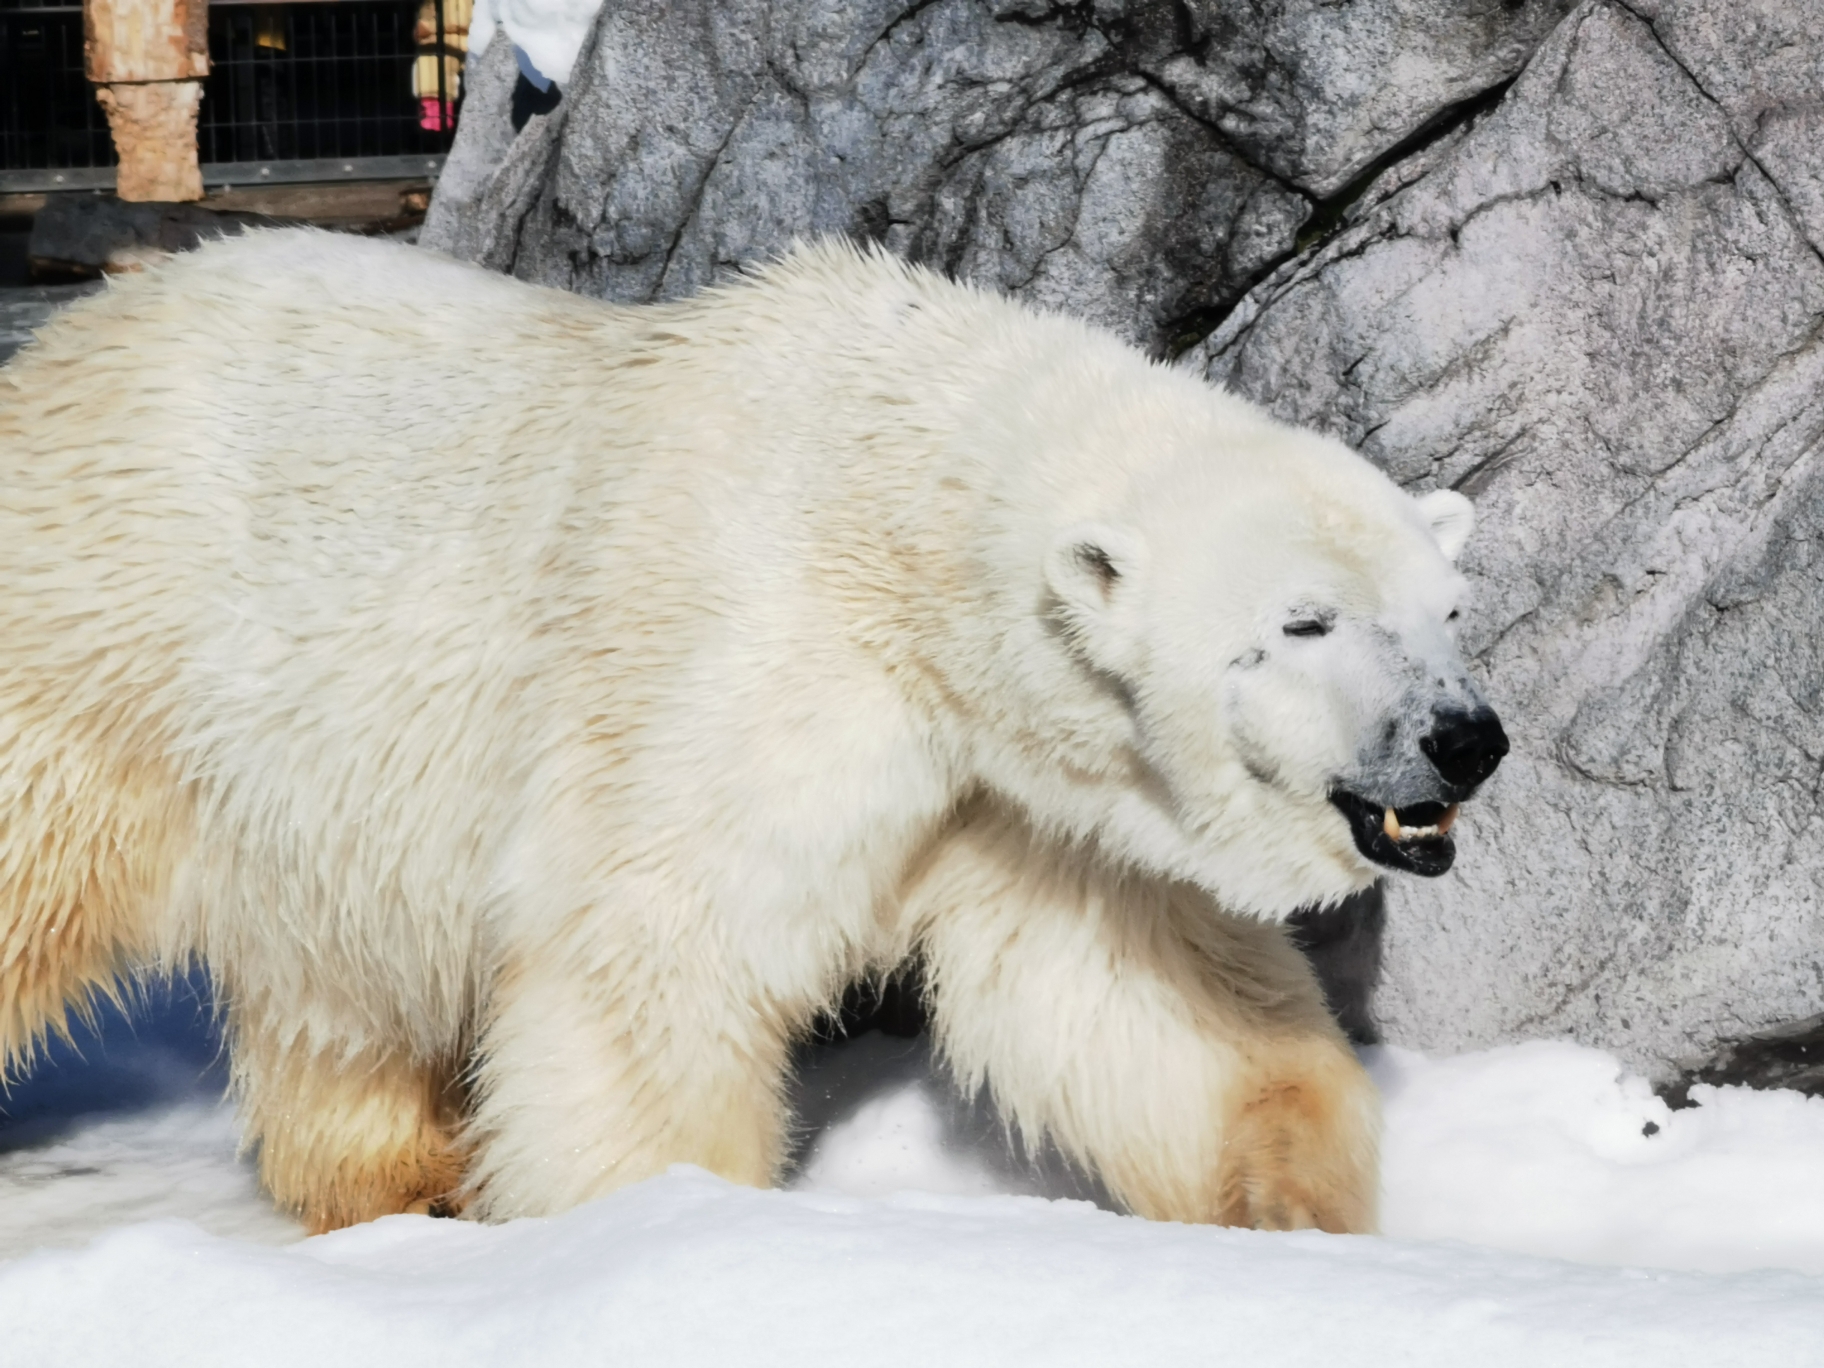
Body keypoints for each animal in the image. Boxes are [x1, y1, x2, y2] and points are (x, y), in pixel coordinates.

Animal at [0, 230, 1502, 1240]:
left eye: (1446, 609)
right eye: (1303, 622)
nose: (1464, 739)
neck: (896, 498)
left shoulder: (1016, 793)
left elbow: (1140, 995)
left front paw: (1294, 1210)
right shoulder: (750, 656)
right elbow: (655, 953)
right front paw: (674, 1225)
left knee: (337, 988)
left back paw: (398, 1179)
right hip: (103, 629)